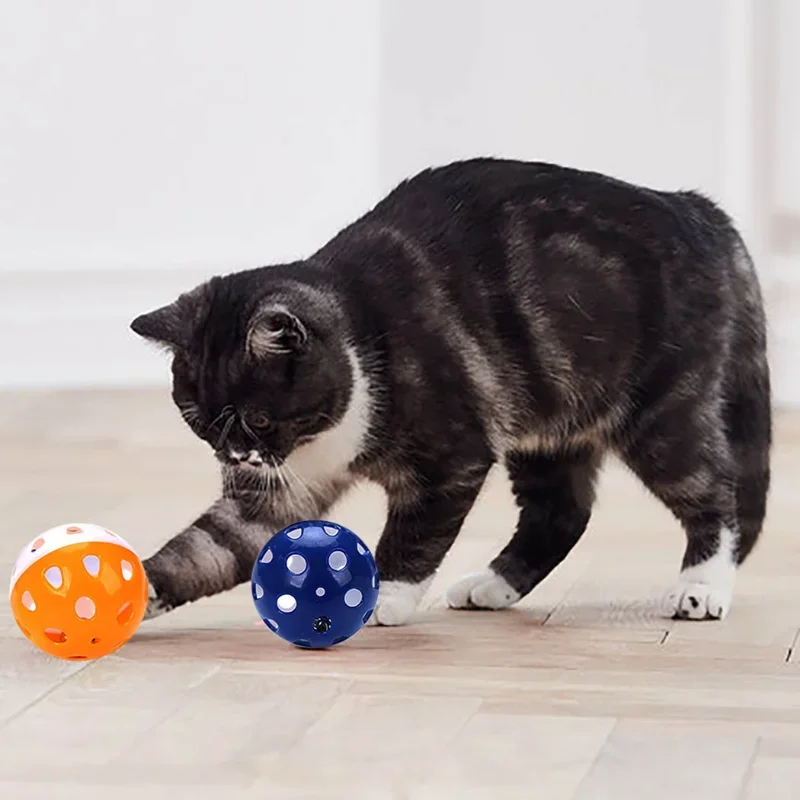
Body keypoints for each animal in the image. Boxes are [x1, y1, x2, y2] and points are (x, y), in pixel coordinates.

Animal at [131, 159, 768, 628]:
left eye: (261, 419)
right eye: (199, 421)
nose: (236, 457)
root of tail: (696, 206)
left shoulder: (451, 458)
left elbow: (415, 534)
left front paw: (381, 597)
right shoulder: (276, 492)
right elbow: (209, 548)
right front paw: (140, 590)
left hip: (660, 410)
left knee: (715, 492)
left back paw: (702, 587)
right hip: (548, 422)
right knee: (560, 511)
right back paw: (493, 585)